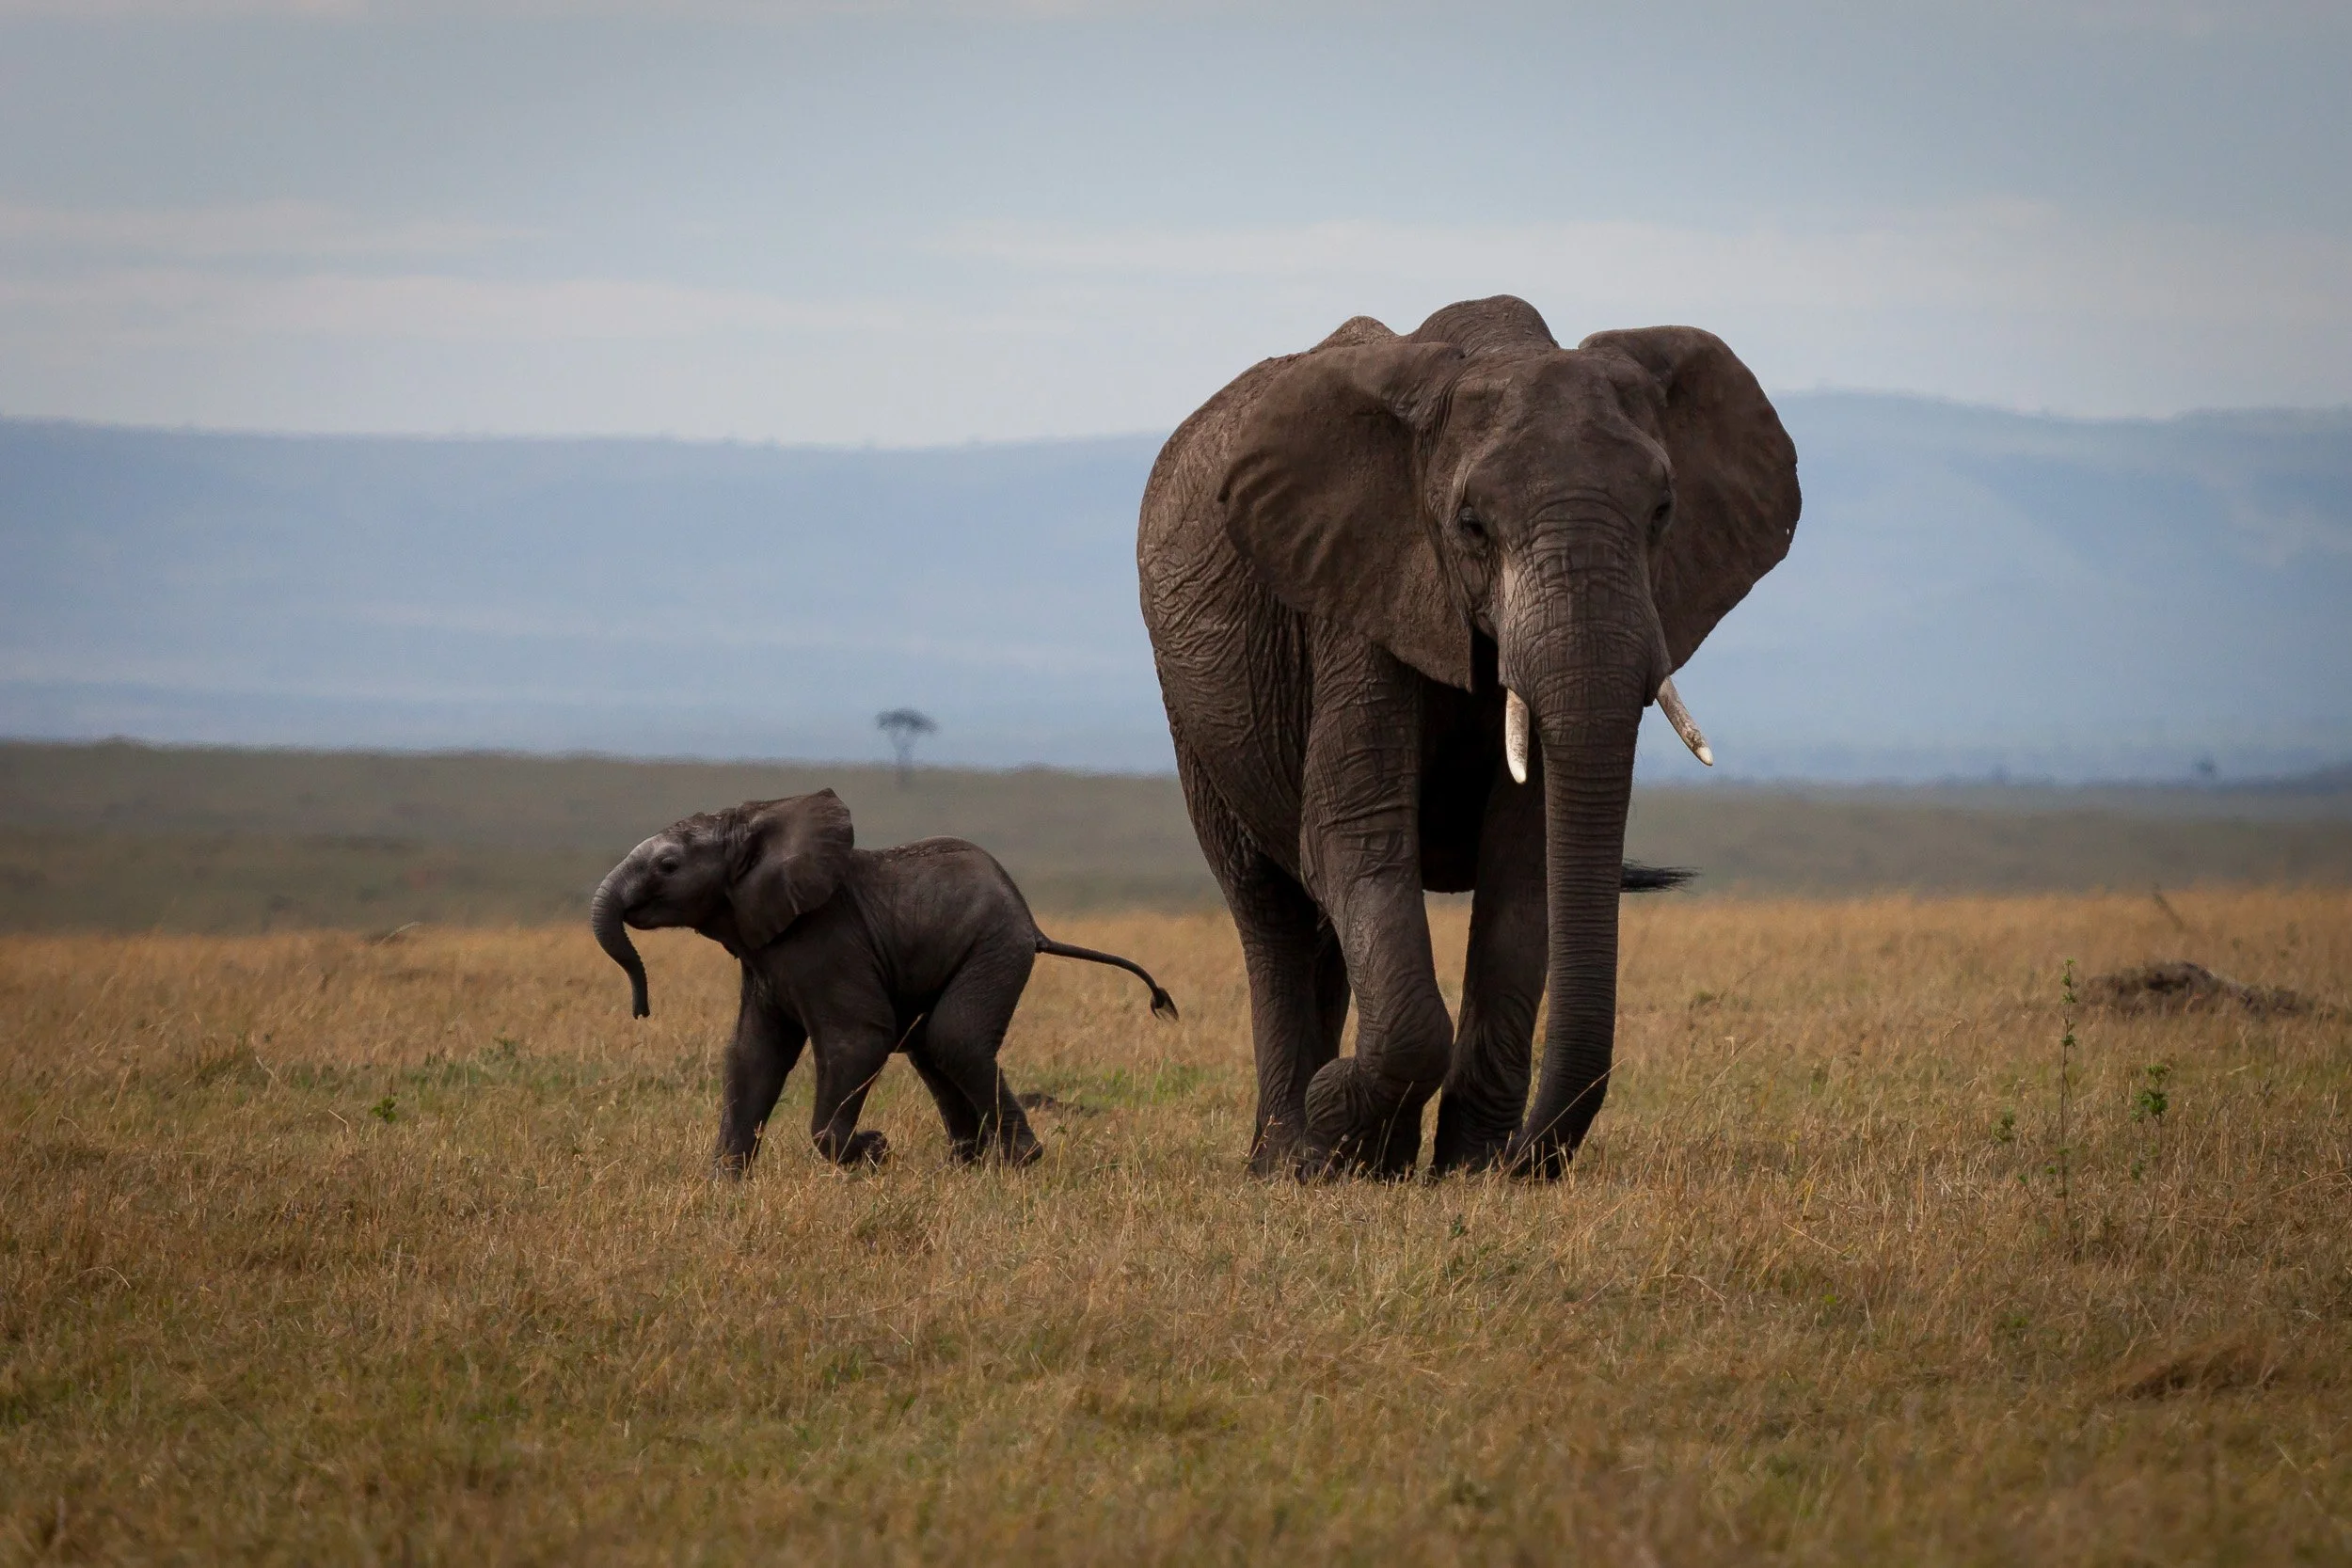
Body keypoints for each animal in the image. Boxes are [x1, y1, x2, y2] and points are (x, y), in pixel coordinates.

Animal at [590, 790, 1178, 1173]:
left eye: (668, 865)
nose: (641, 1010)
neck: (756, 820)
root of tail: (1034, 924)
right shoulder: (764, 958)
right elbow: (752, 1053)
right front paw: (723, 1183)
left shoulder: (826, 943)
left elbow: (857, 1040)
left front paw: (873, 1151)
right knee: (933, 1049)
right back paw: (968, 1167)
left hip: (993, 947)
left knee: (954, 1038)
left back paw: (1018, 1162)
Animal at [1138, 295, 1798, 1179]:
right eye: (1472, 524)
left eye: (1663, 513)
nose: (1529, 1157)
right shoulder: (1356, 599)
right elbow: (1354, 836)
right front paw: (1344, 1121)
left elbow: (1526, 865)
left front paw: (1469, 1168)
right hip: (1195, 713)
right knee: (1269, 906)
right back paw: (1292, 1159)